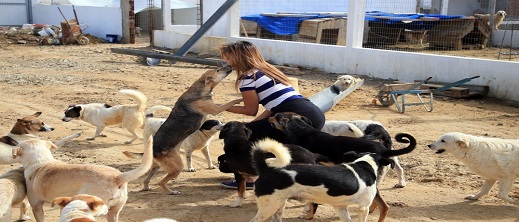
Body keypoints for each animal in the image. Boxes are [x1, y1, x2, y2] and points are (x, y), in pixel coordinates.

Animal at [148, 66, 242, 194]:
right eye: (217, 70)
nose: (229, 66)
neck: (201, 89)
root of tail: (154, 150)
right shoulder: (215, 109)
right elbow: (230, 102)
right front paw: (239, 98)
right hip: (177, 166)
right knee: (161, 182)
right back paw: (172, 191)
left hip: (157, 166)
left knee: (146, 180)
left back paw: (147, 187)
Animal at [250, 134, 416, 222]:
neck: (365, 164)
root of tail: (265, 169)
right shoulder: (363, 208)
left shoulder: (340, 207)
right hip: (270, 206)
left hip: (278, 205)